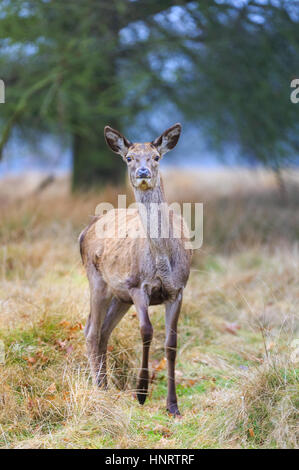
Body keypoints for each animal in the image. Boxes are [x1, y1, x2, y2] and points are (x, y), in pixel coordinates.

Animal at [79, 124, 192, 414]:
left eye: (157, 157)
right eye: (129, 158)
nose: (143, 173)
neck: (163, 262)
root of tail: (86, 230)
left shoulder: (179, 289)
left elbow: (171, 344)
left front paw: (173, 406)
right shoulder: (138, 286)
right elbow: (147, 331)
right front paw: (141, 393)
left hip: (120, 297)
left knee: (103, 331)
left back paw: (105, 386)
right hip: (97, 280)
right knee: (91, 330)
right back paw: (99, 389)